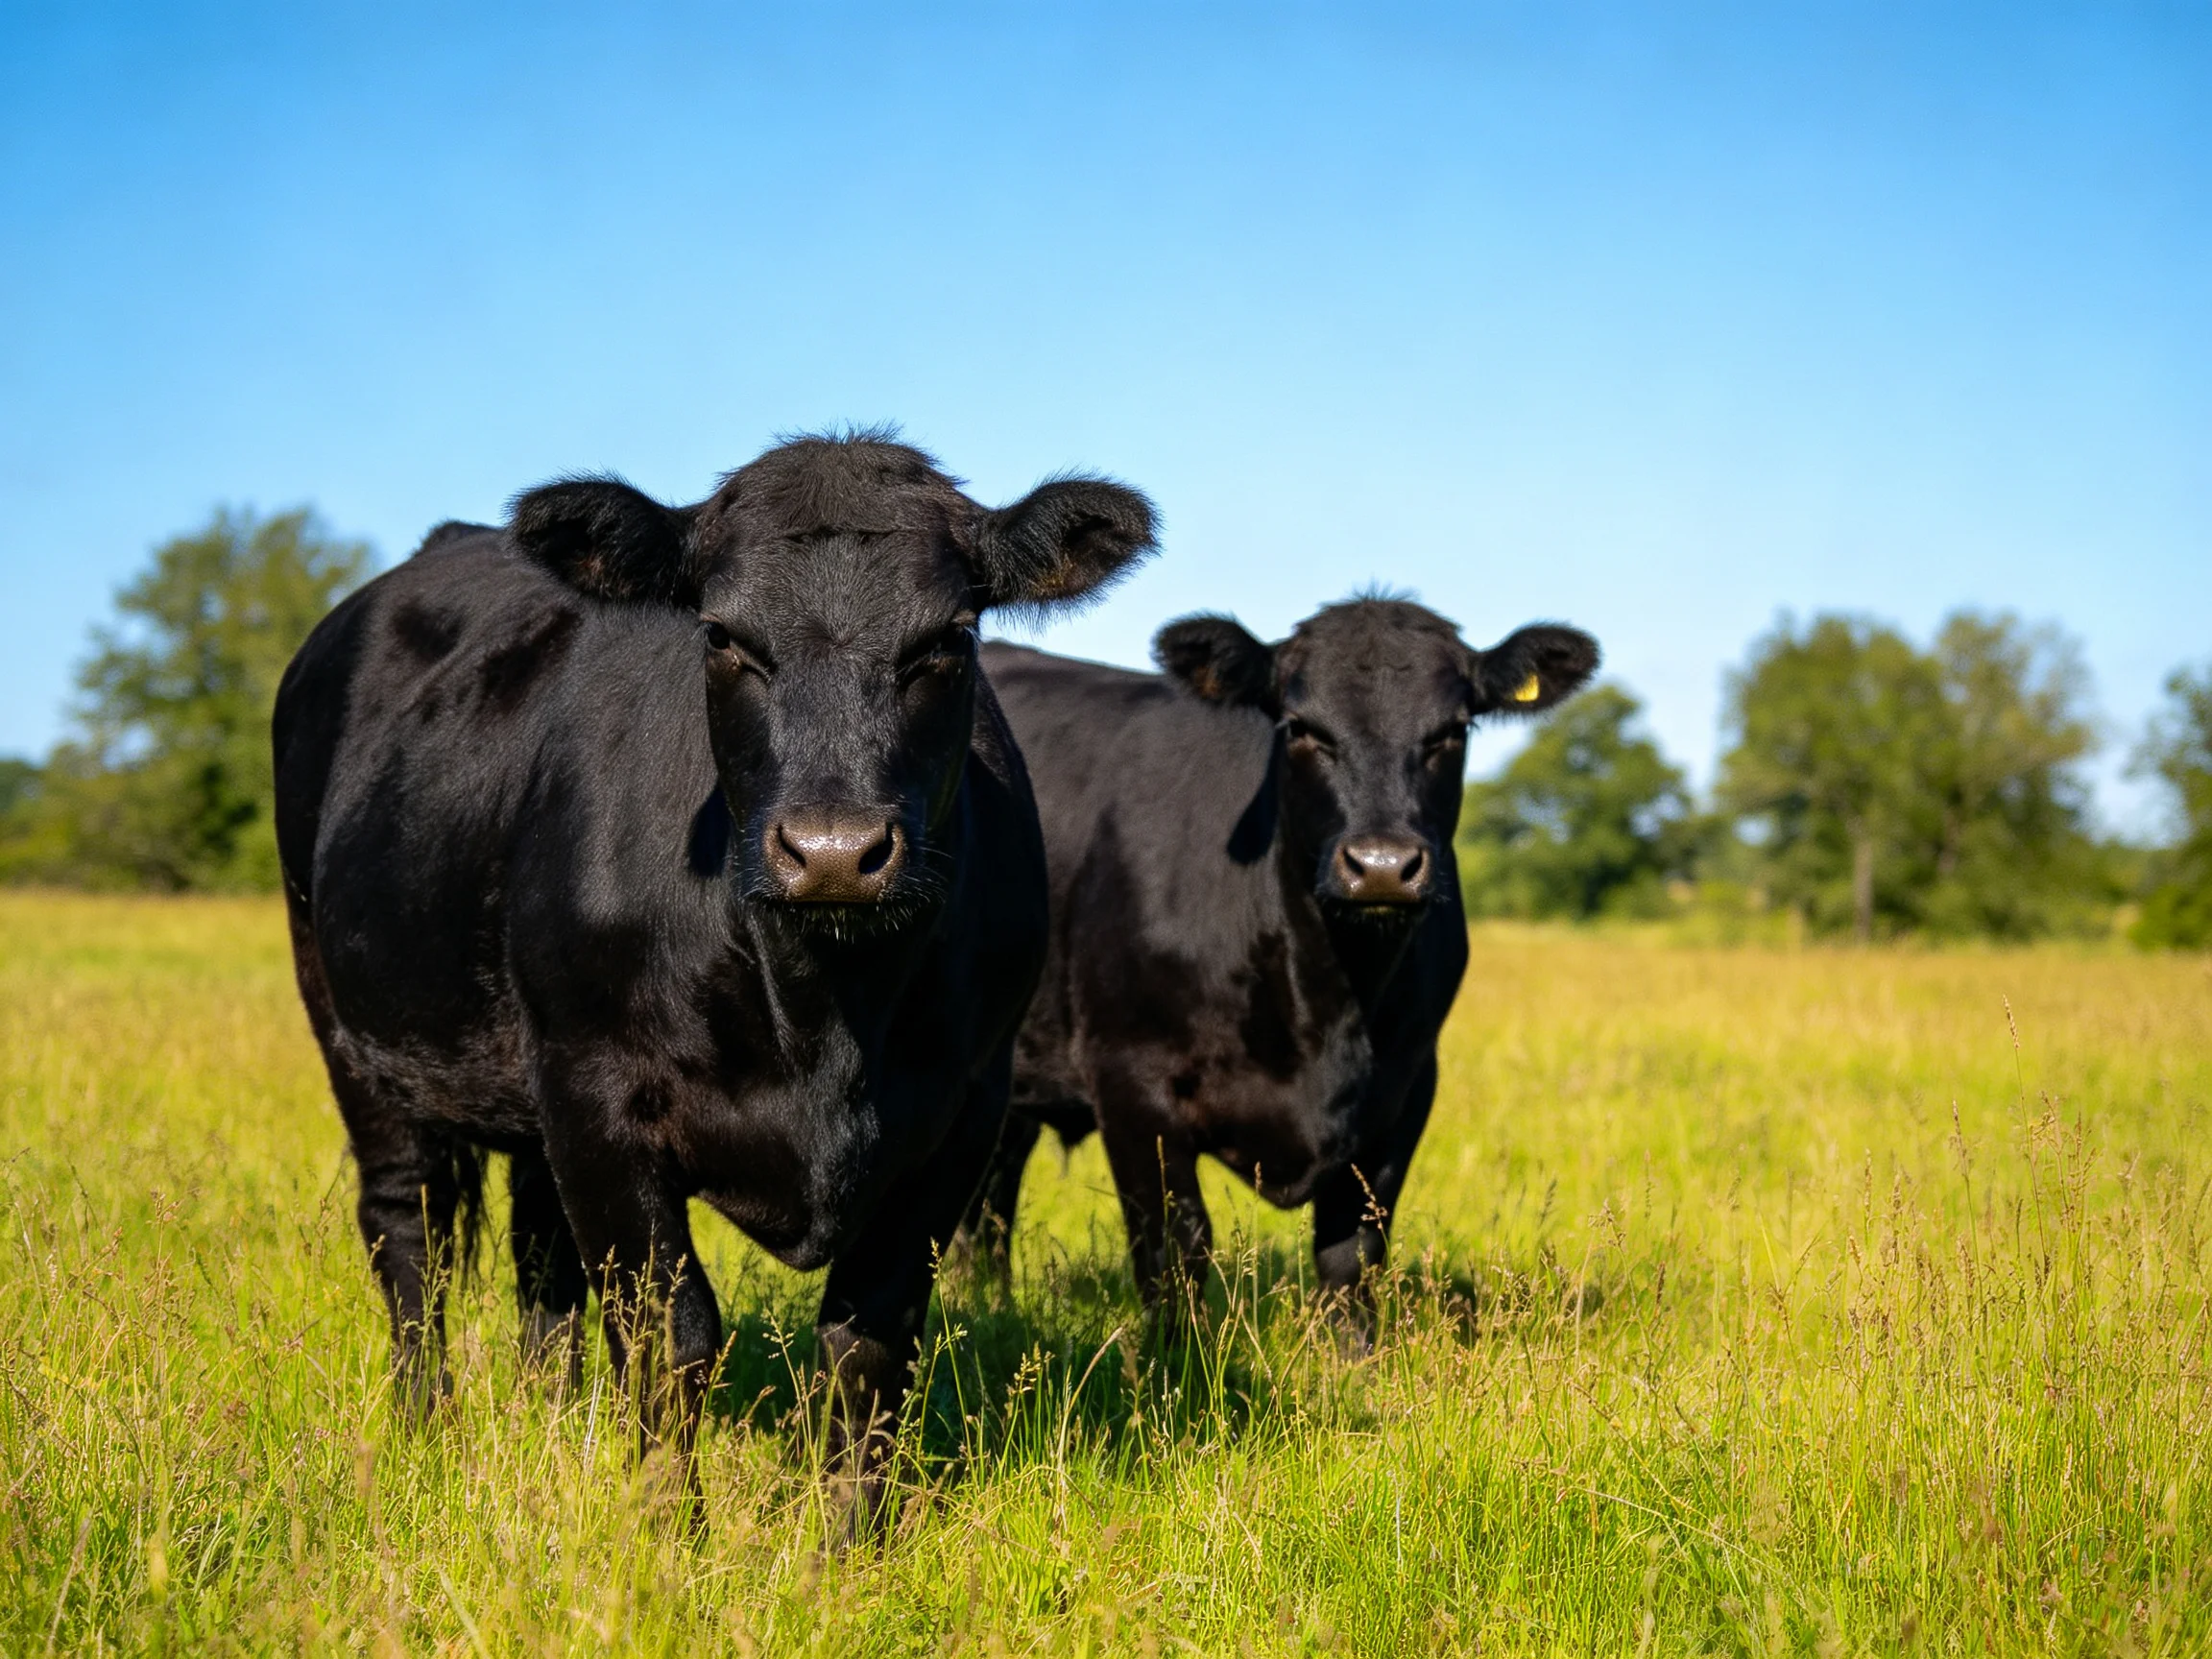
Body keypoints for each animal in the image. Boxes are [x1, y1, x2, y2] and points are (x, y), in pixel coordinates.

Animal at [272, 433, 1156, 1526]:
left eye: (948, 638)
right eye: (724, 636)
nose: (833, 852)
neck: (821, 1013)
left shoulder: (962, 1112)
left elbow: (869, 1345)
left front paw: (848, 1545)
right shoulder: (600, 1094)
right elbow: (668, 1331)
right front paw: (663, 1532)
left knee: (540, 1253)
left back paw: (553, 1423)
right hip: (350, 1026)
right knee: (412, 1230)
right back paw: (426, 1431)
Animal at [957, 599, 1597, 1332]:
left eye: (1453, 731)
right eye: (1300, 728)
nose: (1382, 865)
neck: (1327, 1003)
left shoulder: (1405, 1089)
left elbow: (1353, 1252)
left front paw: (1355, 1358)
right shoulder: (1131, 1080)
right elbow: (1174, 1251)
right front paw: (1176, 1360)